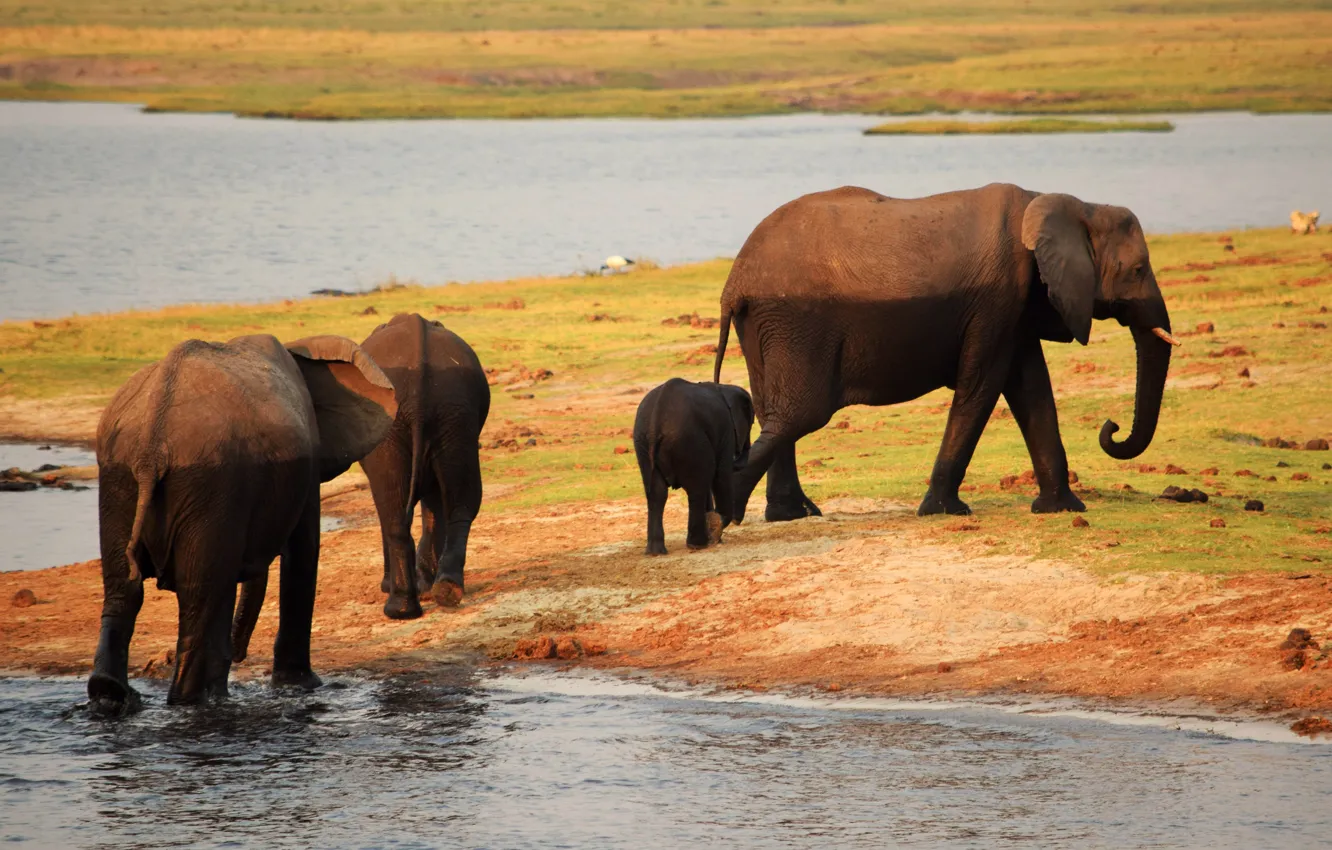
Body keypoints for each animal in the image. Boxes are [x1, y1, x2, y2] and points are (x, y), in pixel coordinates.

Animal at [91, 334, 396, 714]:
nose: (240, 655)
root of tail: (152, 447)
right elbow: (303, 550)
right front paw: (303, 686)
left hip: (123, 477)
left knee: (125, 589)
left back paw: (115, 697)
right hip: (205, 479)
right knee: (199, 598)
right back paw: (193, 702)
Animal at [359, 317, 490, 623]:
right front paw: (427, 584)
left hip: (395, 425)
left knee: (393, 511)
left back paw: (399, 607)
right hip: (455, 412)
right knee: (461, 501)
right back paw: (444, 591)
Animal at [631, 378, 756, 554]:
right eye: (751, 422)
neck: (722, 387)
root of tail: (657, 420)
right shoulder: (725, 429)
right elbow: (720, 476)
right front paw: (715, 530)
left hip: (642, 442)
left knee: (656, 493)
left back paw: (656, 552)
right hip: (690, 440)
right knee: (697, 489)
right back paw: (698, 545)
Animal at [713, 183, 1182, 522]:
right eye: (1138, 270)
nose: (1112, 427)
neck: (1072, 203)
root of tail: (735, 280)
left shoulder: (1016, 308)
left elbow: (1031, 388)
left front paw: (1062, 509)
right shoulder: (998, 298)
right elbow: (982, 386)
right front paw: (943, 511)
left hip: (765, 326)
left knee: (775, 411)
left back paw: (790, 515)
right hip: (796, 322)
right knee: (799, 413)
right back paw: (728, 514)